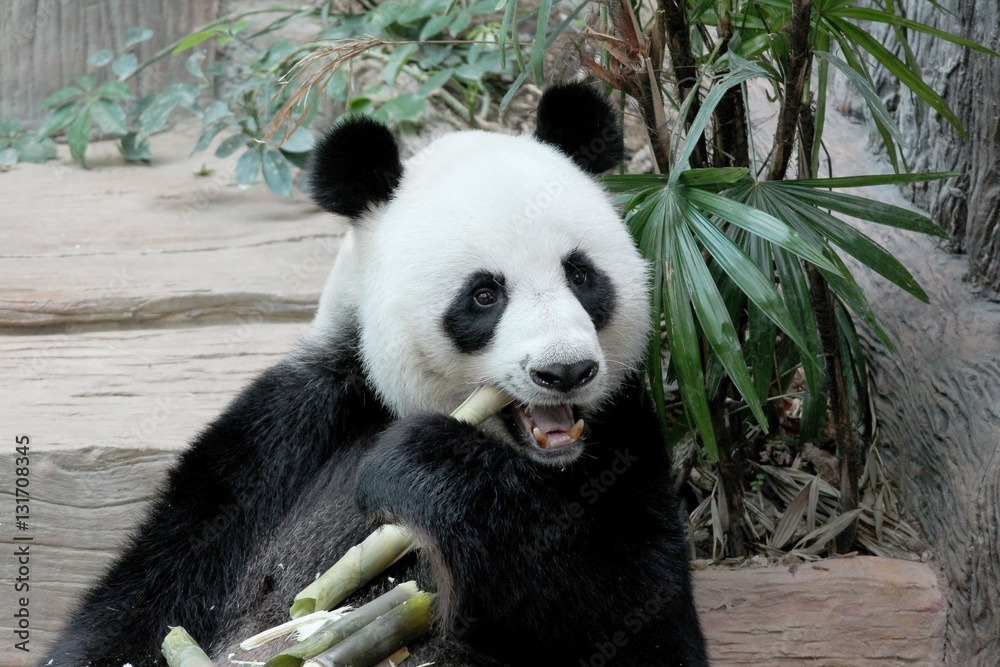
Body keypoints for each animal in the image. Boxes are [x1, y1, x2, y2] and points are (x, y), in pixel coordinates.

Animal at [42, 82, 708, 667]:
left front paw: (417, 463)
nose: (565, 370)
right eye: (484, 295)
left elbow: (638, 616)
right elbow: (153, 588)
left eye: (581, 275)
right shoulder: (288, 430)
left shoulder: (621, 439)